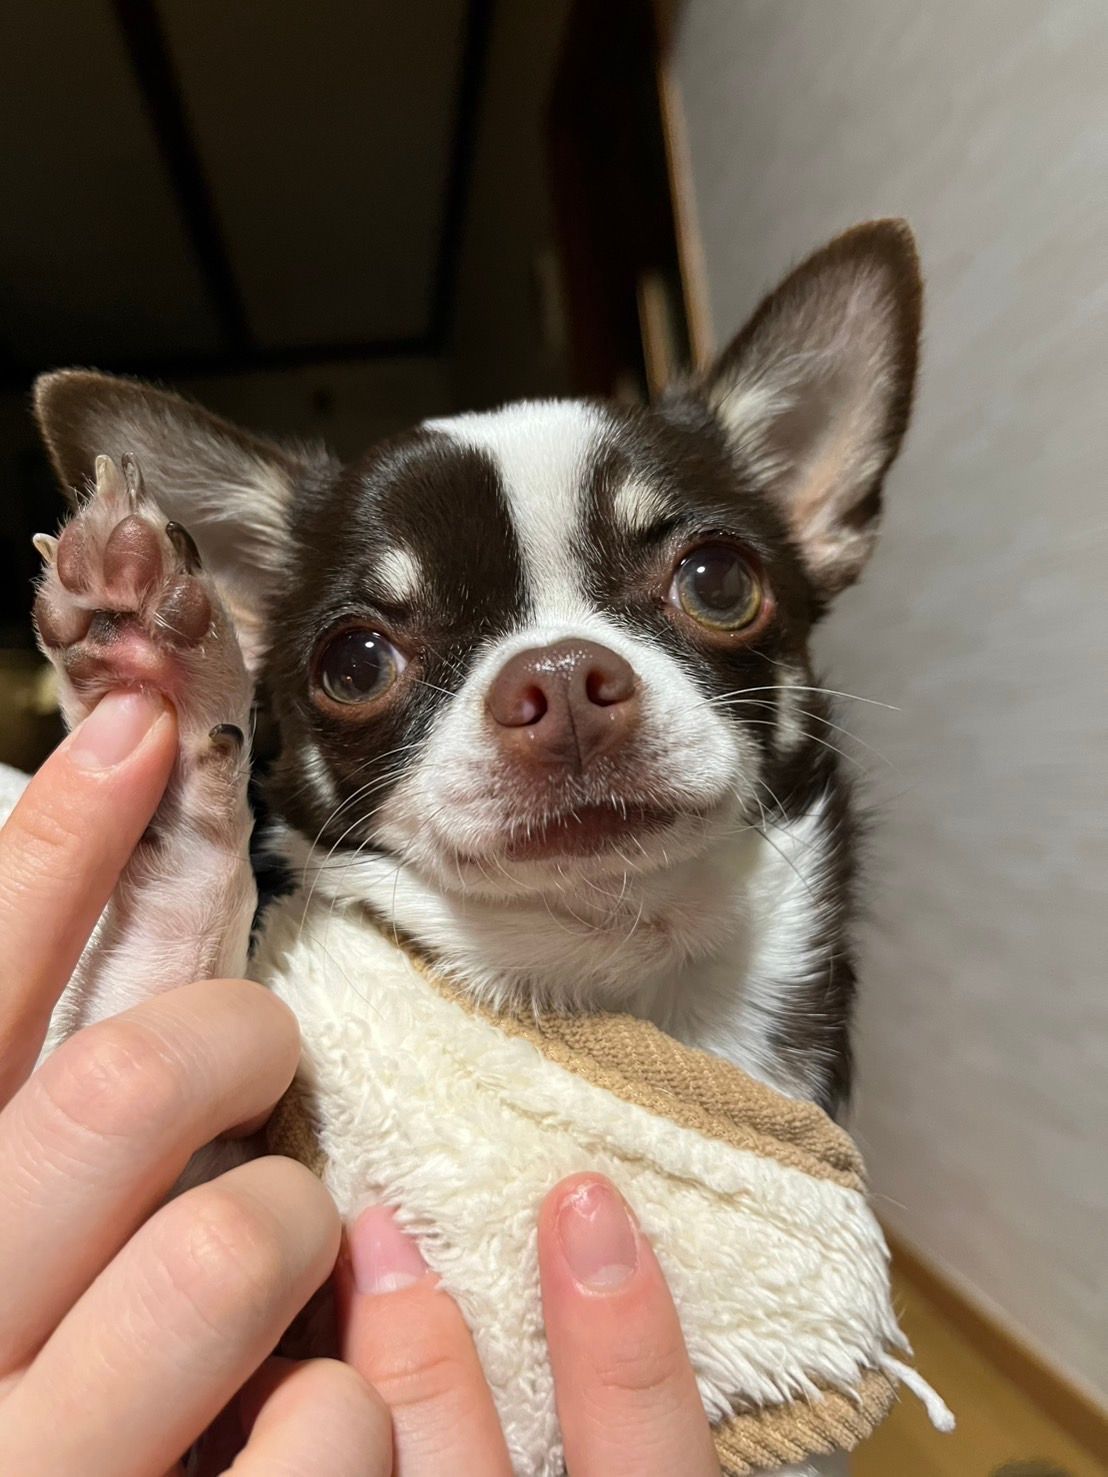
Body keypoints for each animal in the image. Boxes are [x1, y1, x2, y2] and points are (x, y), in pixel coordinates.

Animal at [32, 219, 921, 1473]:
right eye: (355, 659)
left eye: (718, 580)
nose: (559, 675)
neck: (598, 971)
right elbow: (160, 959)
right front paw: (158, 679)